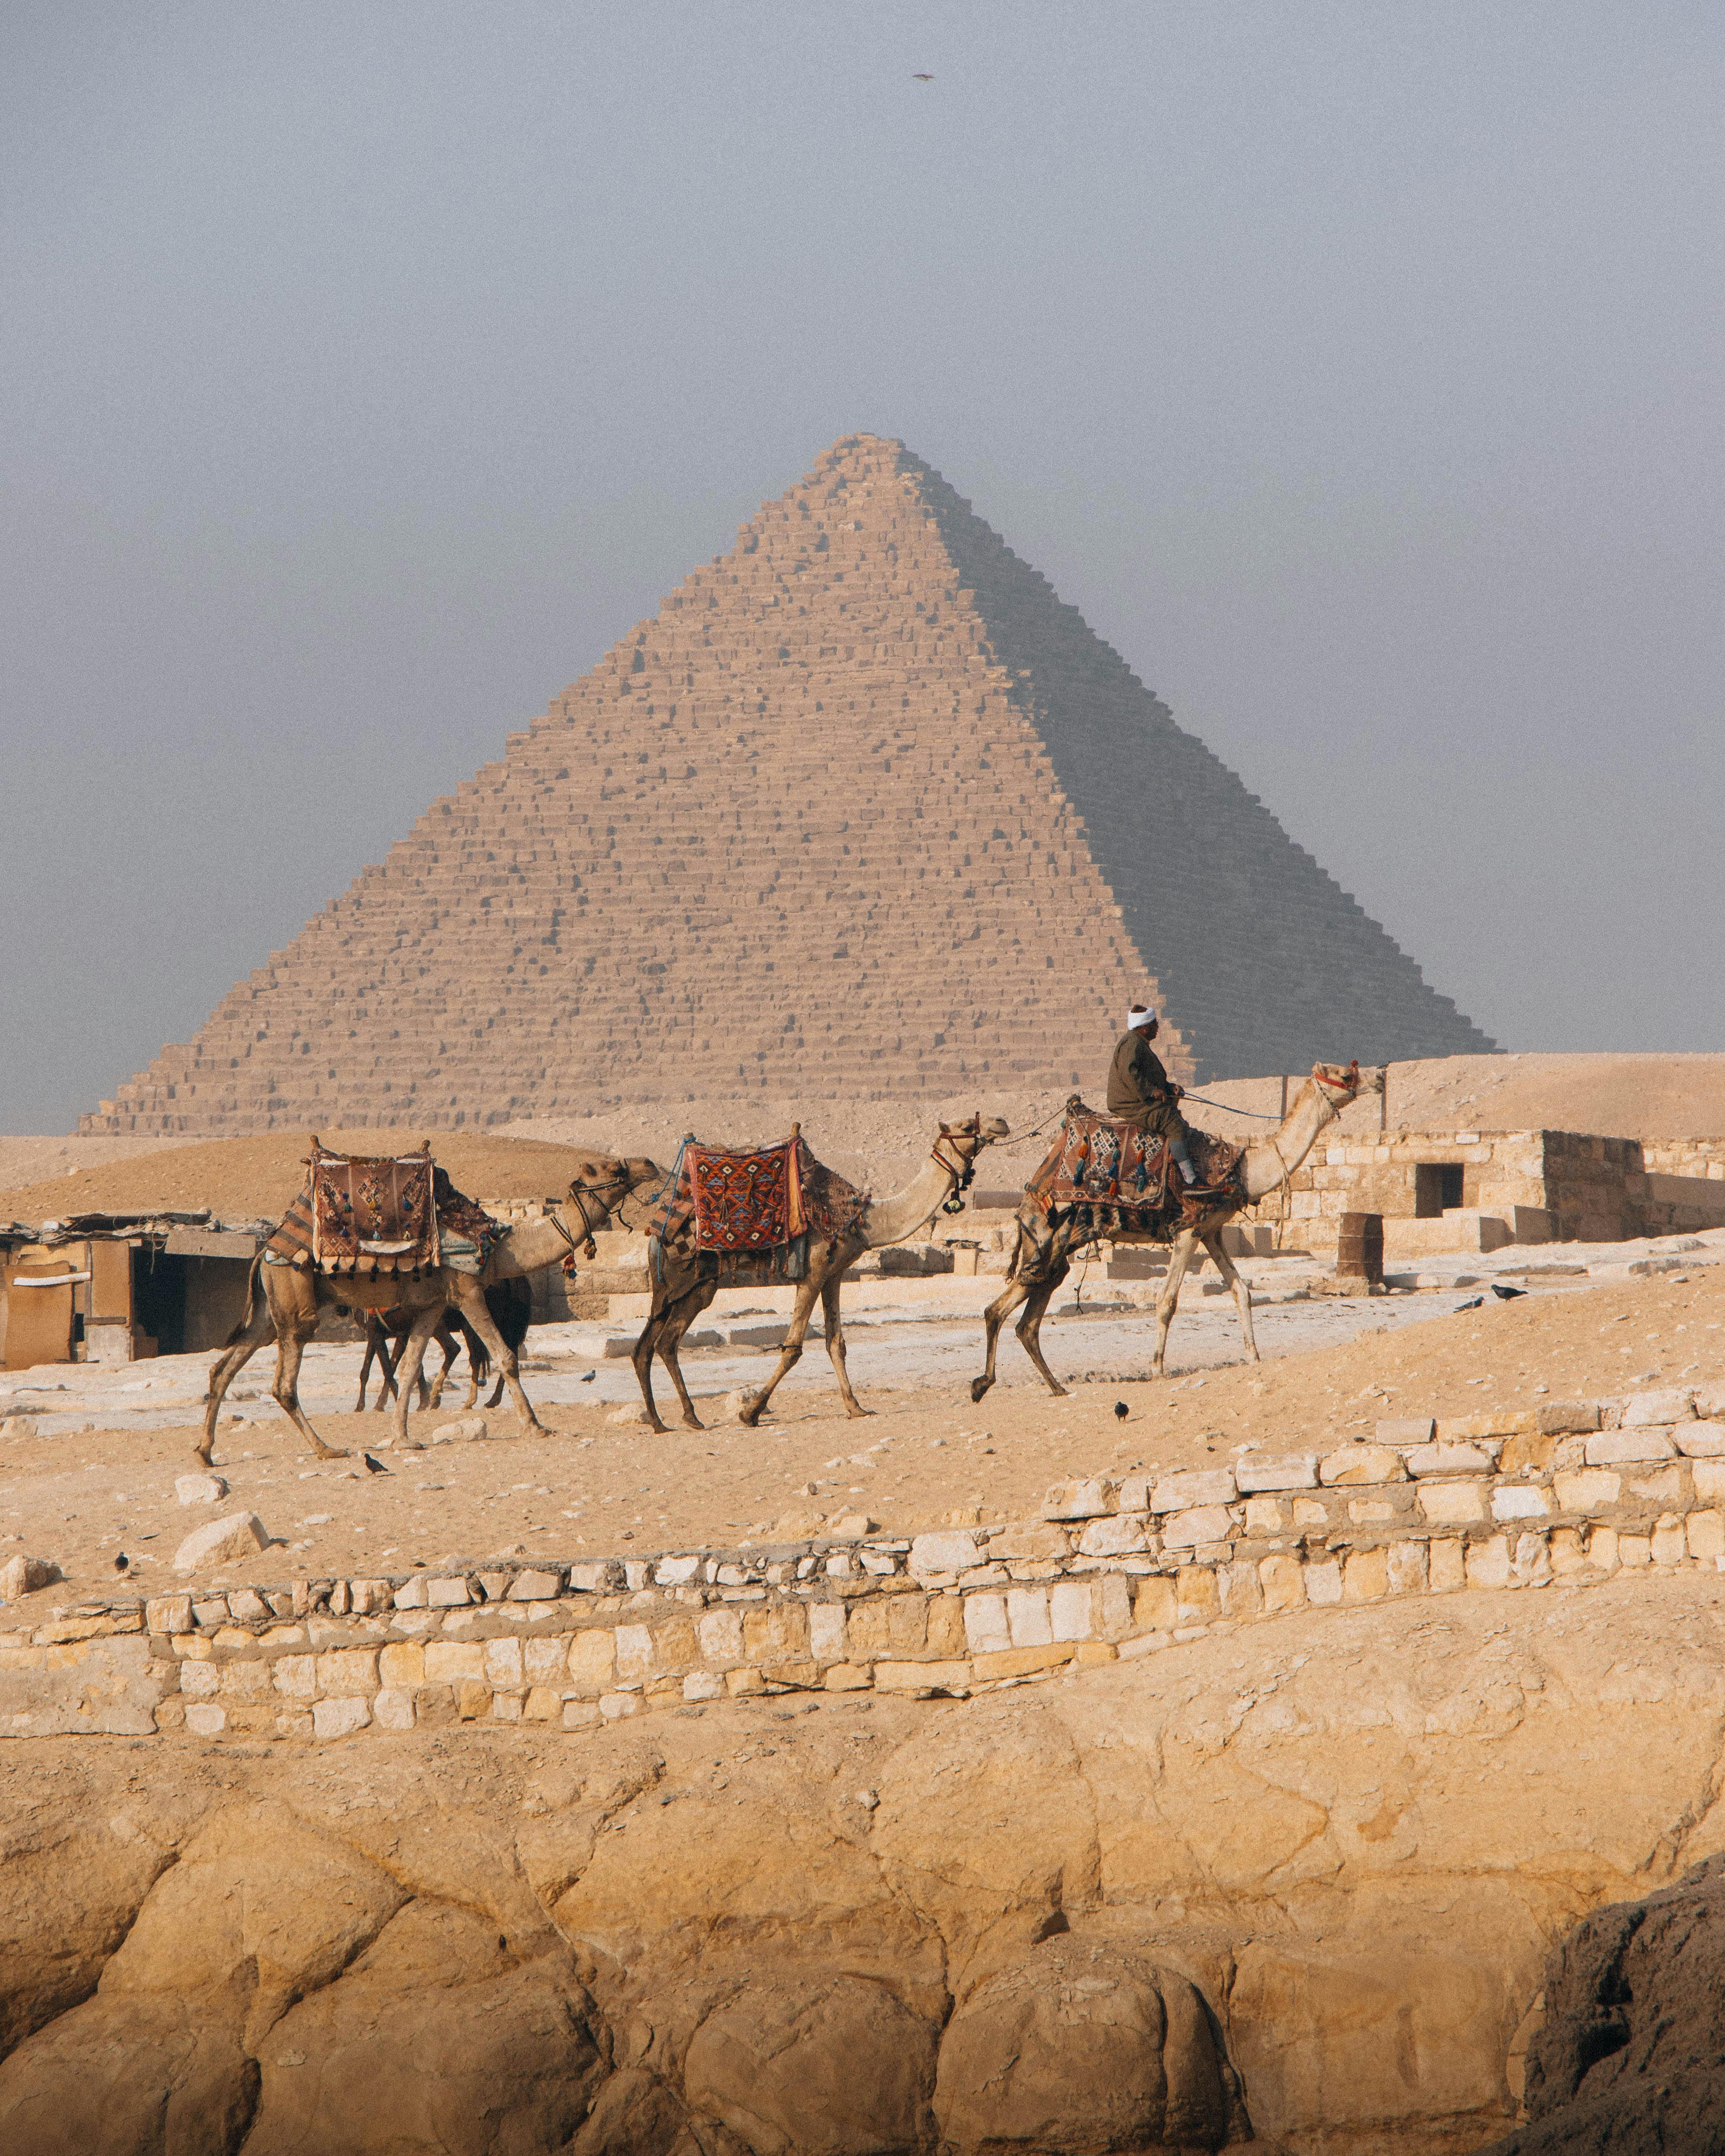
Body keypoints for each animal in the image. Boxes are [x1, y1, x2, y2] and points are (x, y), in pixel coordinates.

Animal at [202, 1154, 663, 1463]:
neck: (496, 1248)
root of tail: (265, 1252)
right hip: (296, 1301)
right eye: (614, 1169)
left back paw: (205, 1451)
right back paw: (326, 1448)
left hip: (269, 1309)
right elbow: (505, 1356)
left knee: (225, 1367)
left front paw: (404, 1437)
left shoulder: (430, 1305)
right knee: (283, 1382)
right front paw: (536, 1426)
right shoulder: (467, 1290)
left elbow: (409, 1370)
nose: (649, 1164)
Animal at [631, 1114, 1010, 1432]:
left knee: (661, 1343)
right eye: (966, 1125)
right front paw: (750, 1413)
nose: (1001, 1123)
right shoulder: (812, 1274)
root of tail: (657, 1227)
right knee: (652, 1343)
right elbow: (793, 1348)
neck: (863, 1220)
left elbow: (836, 1343)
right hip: (675, 1280)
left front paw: (856, 1408)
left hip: (699, 1286)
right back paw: (666, 1421)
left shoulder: (834, 1275)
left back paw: (680, 1419)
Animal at [971, 1061, 1381, 1401]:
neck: (1241, 1170)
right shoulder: (1187, 1230)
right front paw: (1157, 1368)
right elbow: (1167, 1301)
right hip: (1047, 1237)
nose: (1378, 1077)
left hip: (1057, 1248)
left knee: (1025, 1318)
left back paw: (1049, 1387)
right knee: (1002, 1309)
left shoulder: (1212, 1231)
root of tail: (1035, 1185)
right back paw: (986, 1384)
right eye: (1345, 1073)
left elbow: (1241, 1291)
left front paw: (1253, 1356)